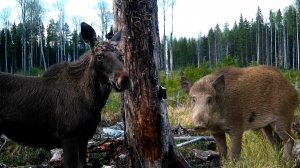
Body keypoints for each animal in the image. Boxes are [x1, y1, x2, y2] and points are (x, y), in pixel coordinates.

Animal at [0, 22, 129, 168]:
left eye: (121, 55)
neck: (93, 103)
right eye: (99, 56)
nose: (124, 79)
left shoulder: (84, 138)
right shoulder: (68, 136)